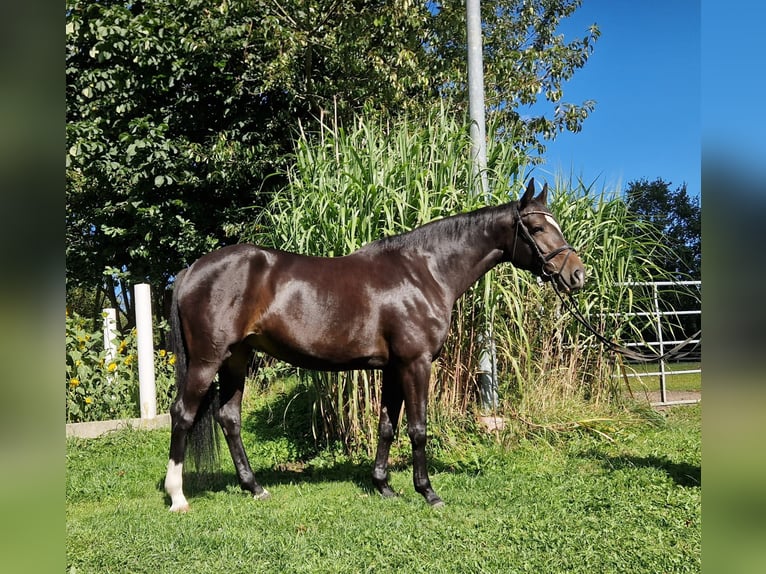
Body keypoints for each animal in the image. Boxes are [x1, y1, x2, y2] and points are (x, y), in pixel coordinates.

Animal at [164, 179, 585, 511]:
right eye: (536, 227)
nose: (577, 275)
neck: (424, 272)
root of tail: (191, 270)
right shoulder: (416, 363)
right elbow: (417, 428)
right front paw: (428, 492)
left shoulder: (393, 368)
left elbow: (386, 426)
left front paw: (384, 486)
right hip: (207, 359)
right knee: (182, 414)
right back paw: (178, 496)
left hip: (237, 358)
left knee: (229, 418)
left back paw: (255, 487)